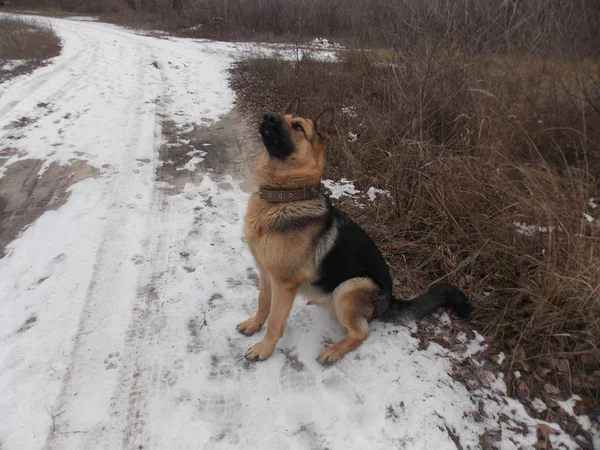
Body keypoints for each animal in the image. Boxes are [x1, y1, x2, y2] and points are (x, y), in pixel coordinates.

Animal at [237, 97, 472, 362]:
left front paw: (264, 349)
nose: (268, 116)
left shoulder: (283, 284)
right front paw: (253, 325)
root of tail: (389, 300)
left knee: (361, 332)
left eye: (297, 127)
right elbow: (263, 305)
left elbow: (276, 321)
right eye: (281, 116)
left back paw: (333, 351)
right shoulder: (265, 274)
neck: (283, 199)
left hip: (349, 287)